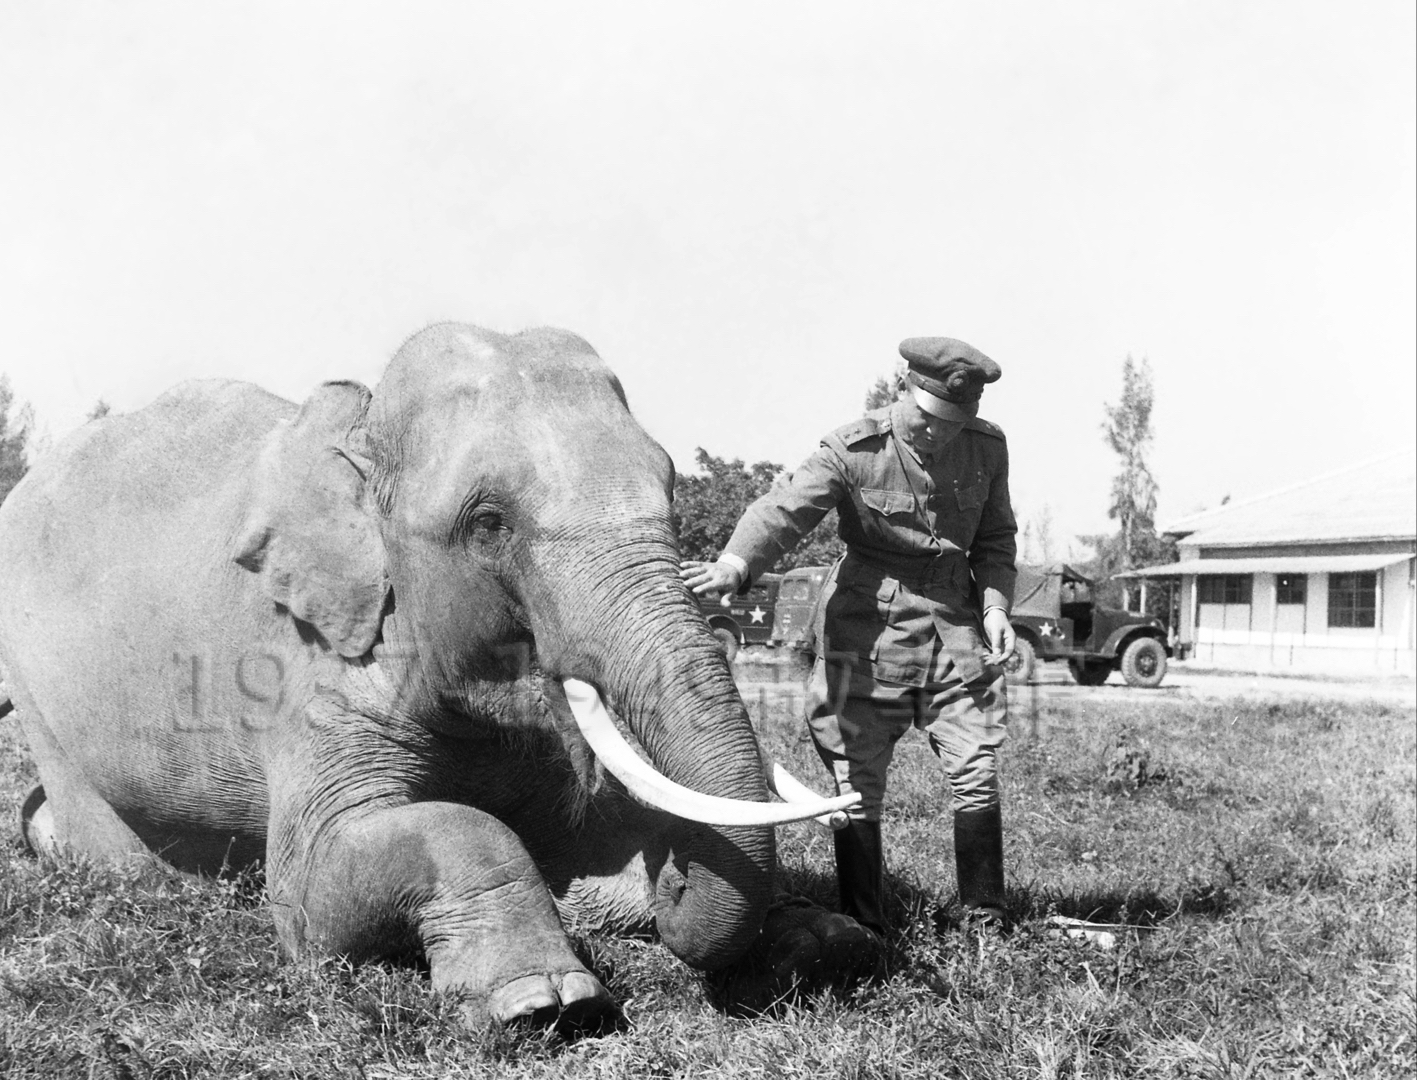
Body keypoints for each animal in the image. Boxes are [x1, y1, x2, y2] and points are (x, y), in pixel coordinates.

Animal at [0, 325, 867, 1026]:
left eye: (669, 485)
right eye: (488, 523)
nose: (680, 881)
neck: (359, 435)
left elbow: (593, 838)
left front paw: (824, 942)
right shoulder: (307, 669)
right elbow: (327, 879)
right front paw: (543, 1004)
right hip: (37, 687)